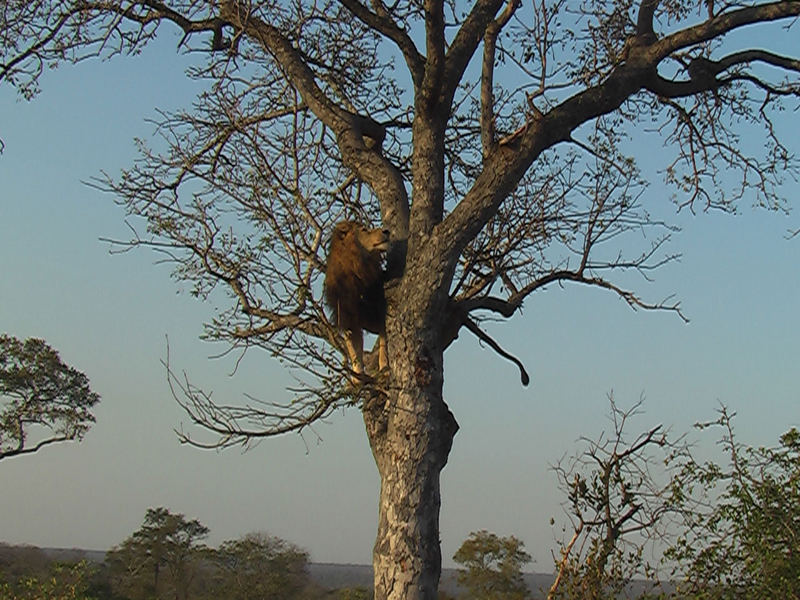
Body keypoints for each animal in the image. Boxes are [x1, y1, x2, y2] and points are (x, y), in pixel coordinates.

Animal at [324, 220, 390, 380]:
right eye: (364, 230)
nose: (387, 231)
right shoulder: (347, 319)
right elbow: (354, 350)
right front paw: (357, 376)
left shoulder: (380, 310)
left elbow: (384, 342)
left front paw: (385, 368)